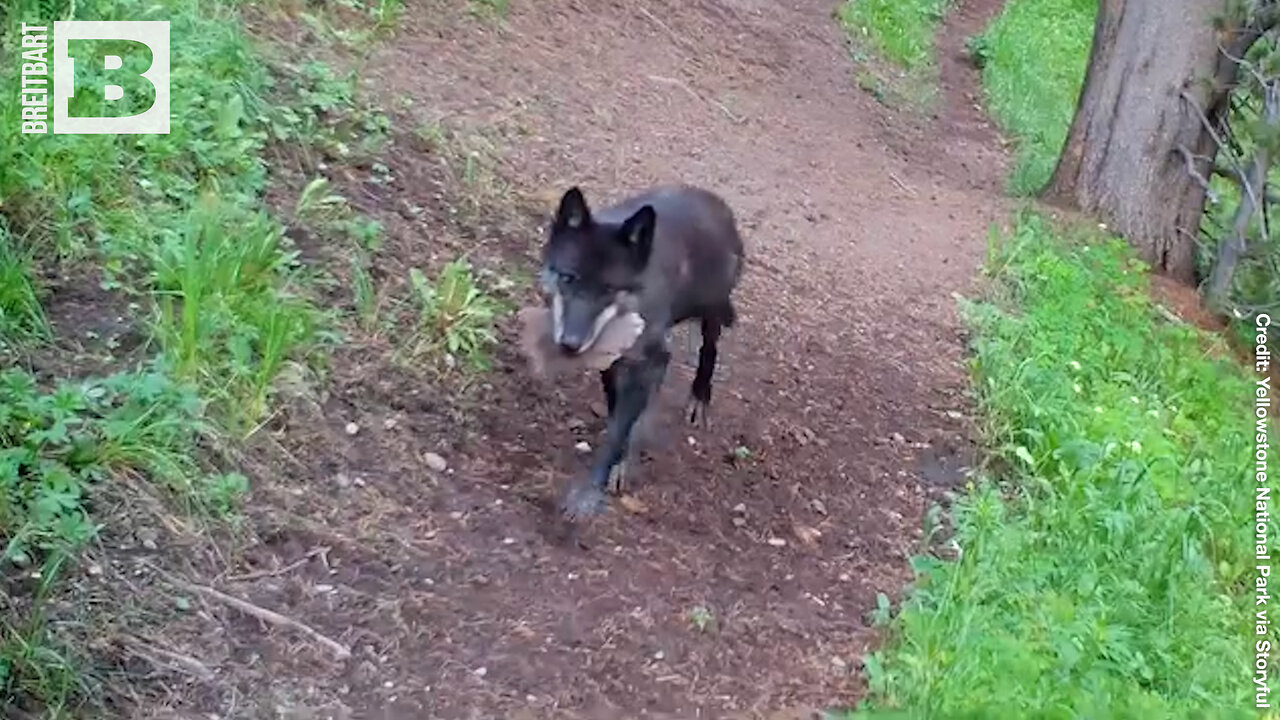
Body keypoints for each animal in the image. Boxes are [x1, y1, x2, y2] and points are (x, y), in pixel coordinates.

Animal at [537, 183, 742, 520]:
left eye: (609, 289)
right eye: (568, 278)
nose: (570, 343)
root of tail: (715, 201)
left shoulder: (647, 361)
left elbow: (619, 431)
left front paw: (592, 490)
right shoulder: (613, 361)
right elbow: (616, 413)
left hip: (711, 314)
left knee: (709, 351)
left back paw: (699, 397)